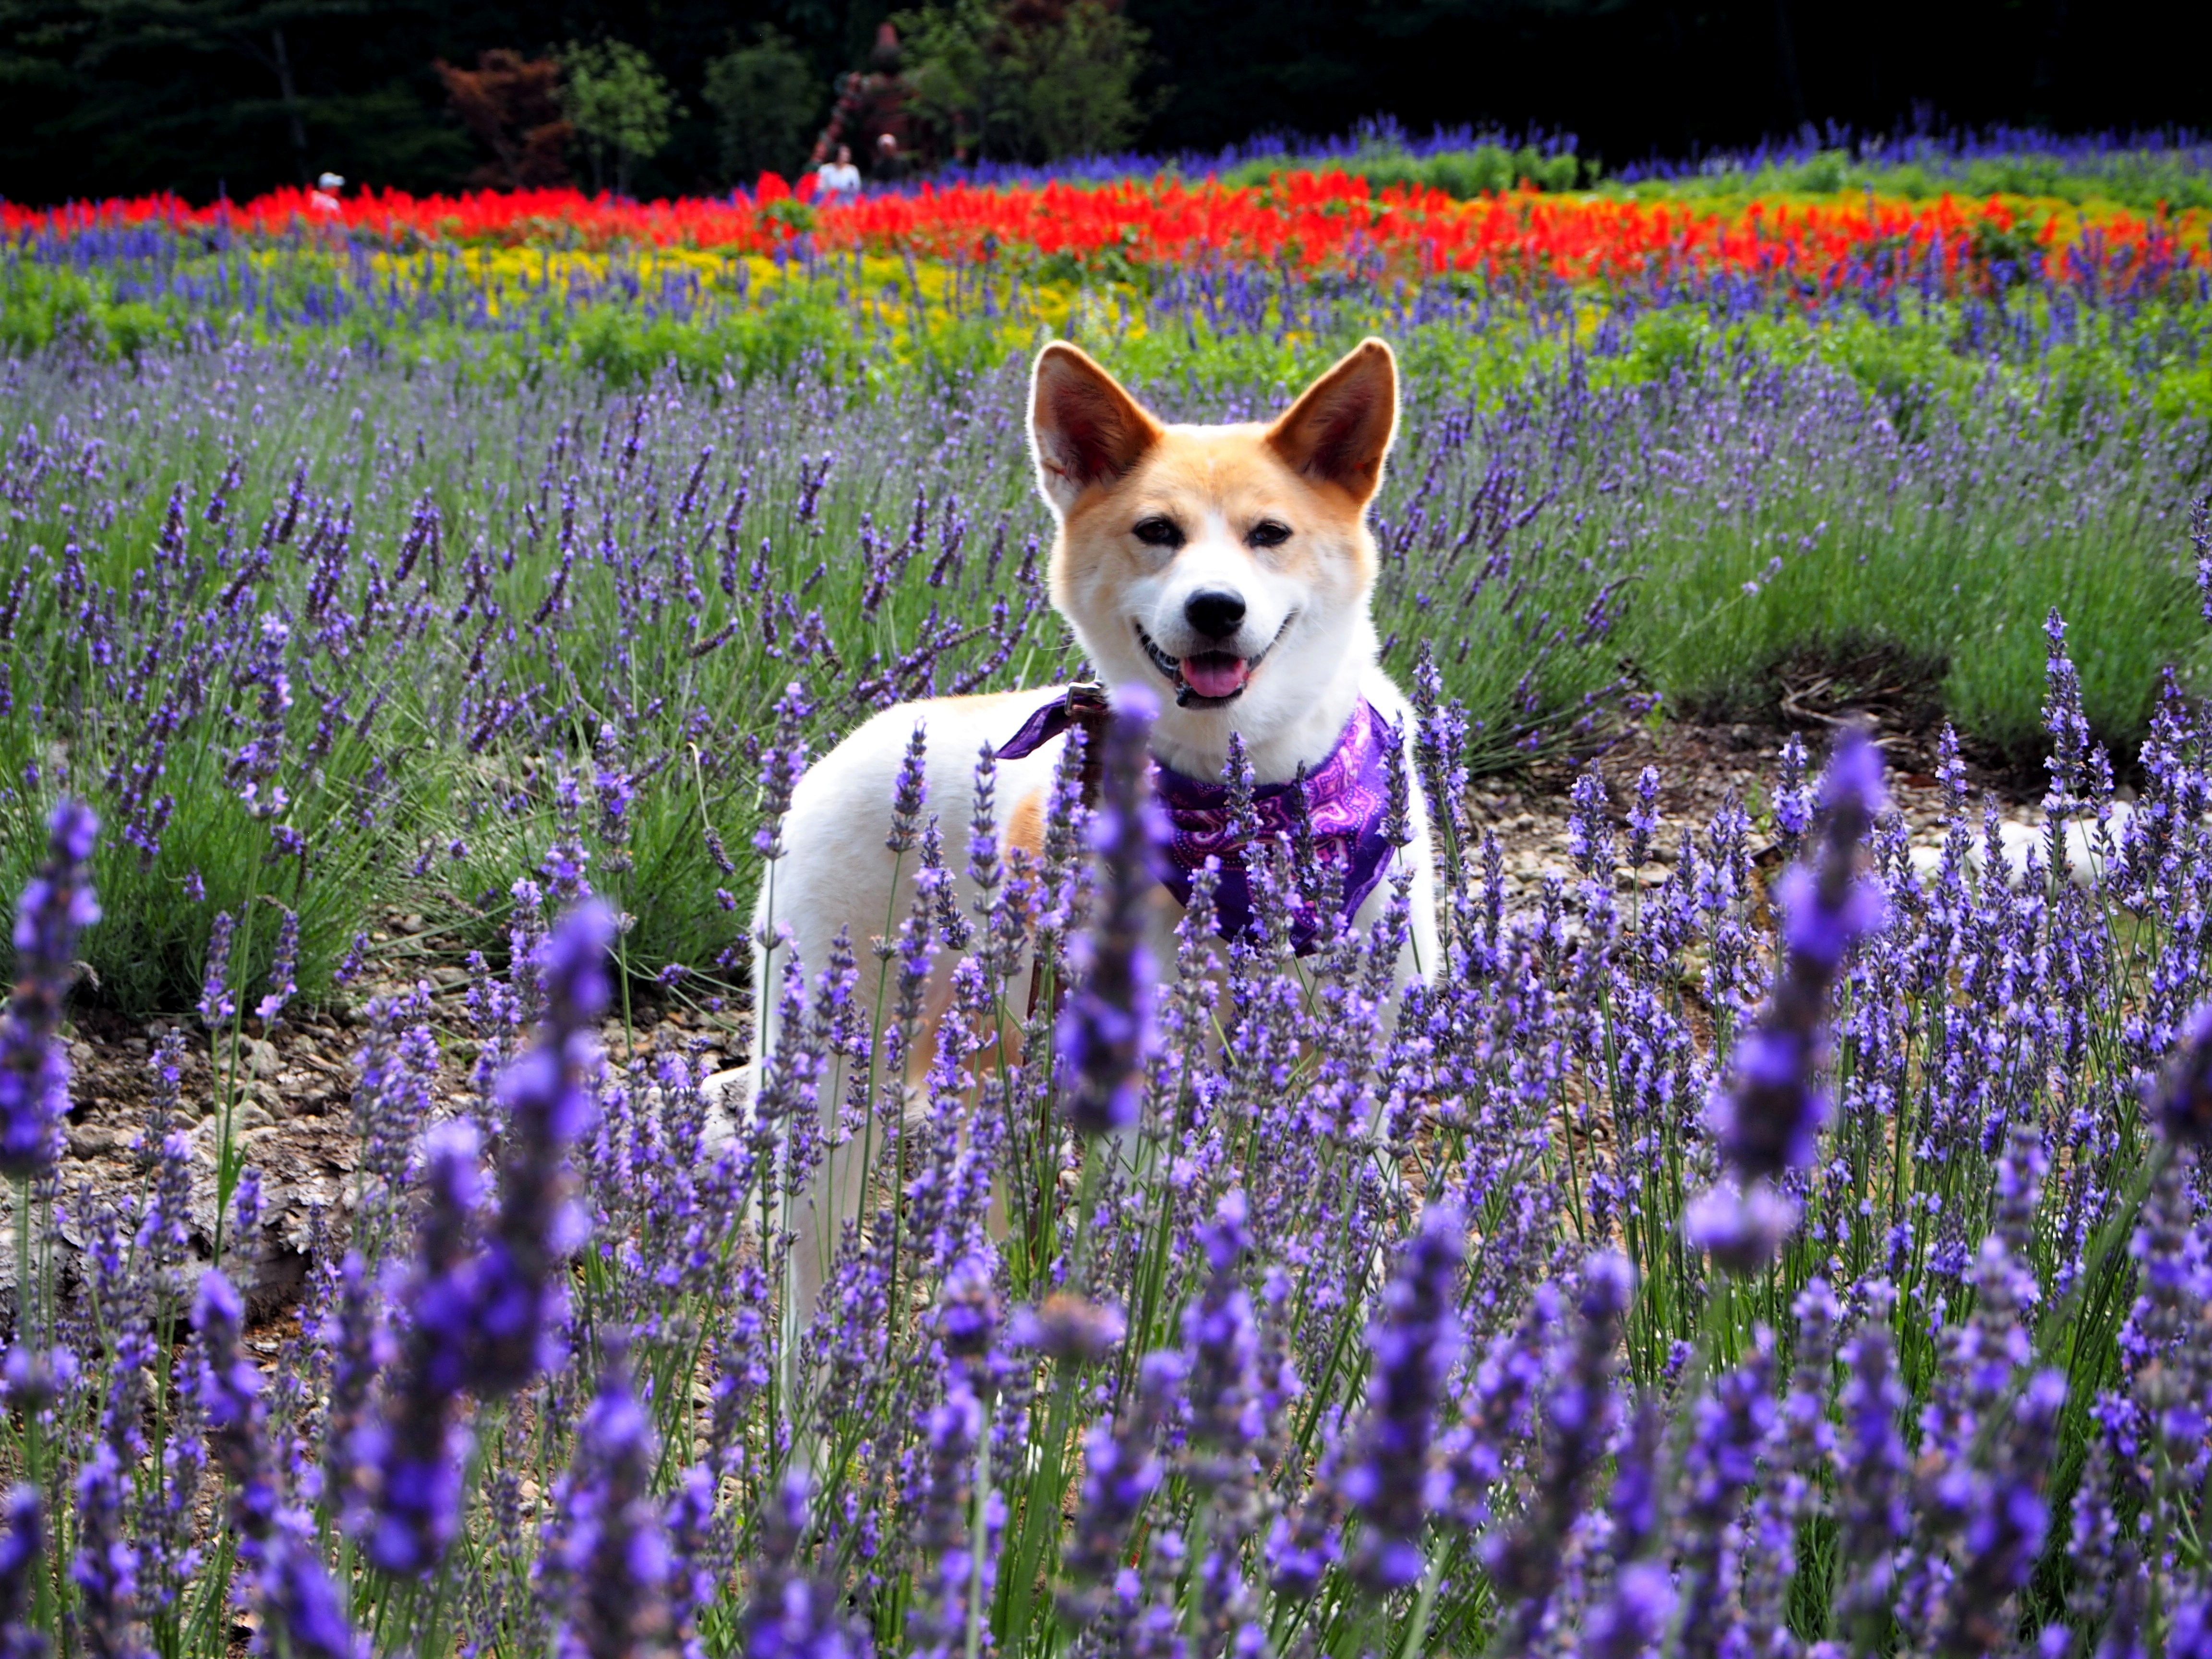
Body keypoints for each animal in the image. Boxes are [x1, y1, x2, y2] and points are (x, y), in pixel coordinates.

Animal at [756, 338, 1433, 1318]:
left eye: (1269, 534)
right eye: (1158, 532)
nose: (1216, 608)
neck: (1248, 818)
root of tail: (852, 742)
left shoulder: (1365, 1068)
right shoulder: (1145, 1093)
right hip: (830, 1078)